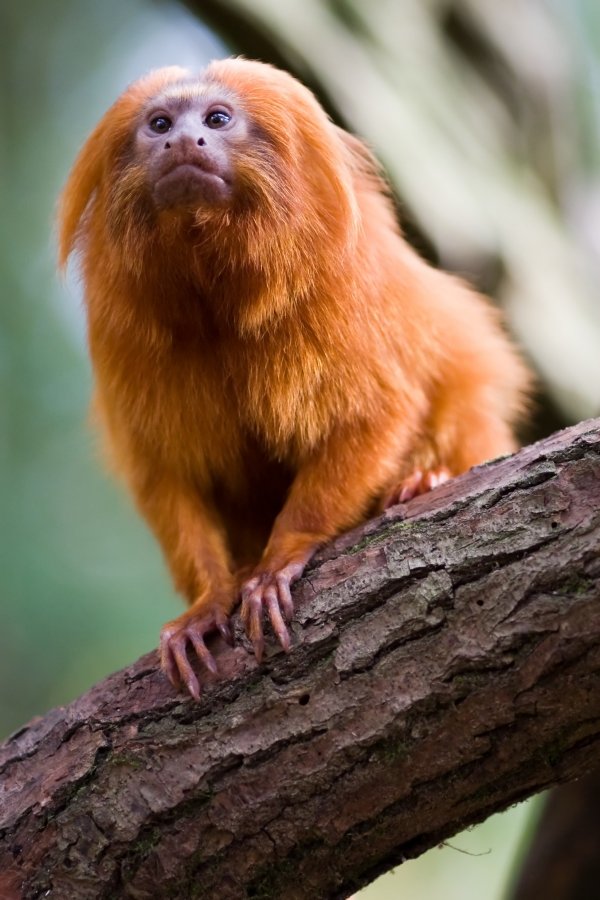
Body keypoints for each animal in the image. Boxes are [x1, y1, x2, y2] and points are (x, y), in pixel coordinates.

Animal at [58, 58, 532, 704]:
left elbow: (374, 412)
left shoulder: (337, 290)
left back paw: (424, 479)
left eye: (217, 119)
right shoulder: (124, 339)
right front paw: (207, 602)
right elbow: (166, 476)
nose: (184, 141)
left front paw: (280, 560)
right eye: (159, 124)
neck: (216, 293)